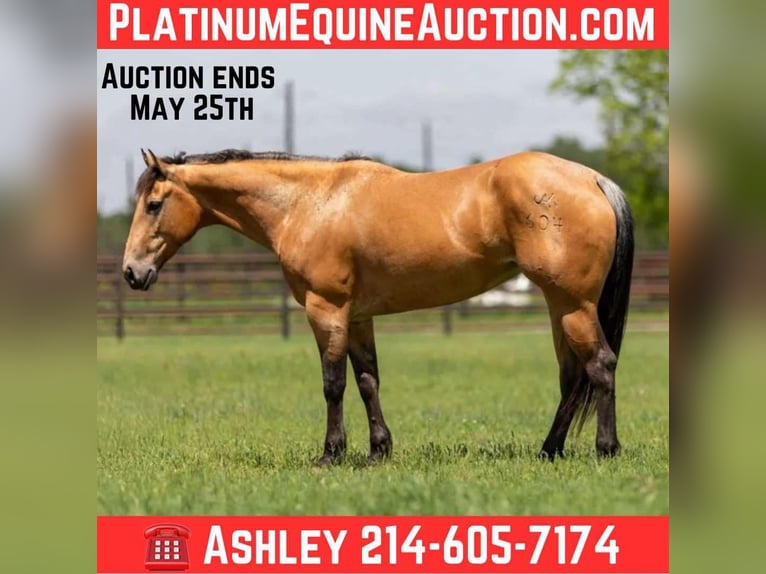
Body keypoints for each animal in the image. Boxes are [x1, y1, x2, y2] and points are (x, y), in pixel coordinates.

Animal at [122, 148, 634, 465]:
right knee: (572, 377)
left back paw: (606, 449)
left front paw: (331, 454)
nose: (131, 272)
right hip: (560, 306)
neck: (307, 203)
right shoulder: (358, 317)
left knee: (601, 365)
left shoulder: (325, 310)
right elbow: (368, 381)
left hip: (572, 304)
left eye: (153, 204)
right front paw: (377, 451)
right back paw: (549, 451)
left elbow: (333, 384)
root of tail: (594, 179)